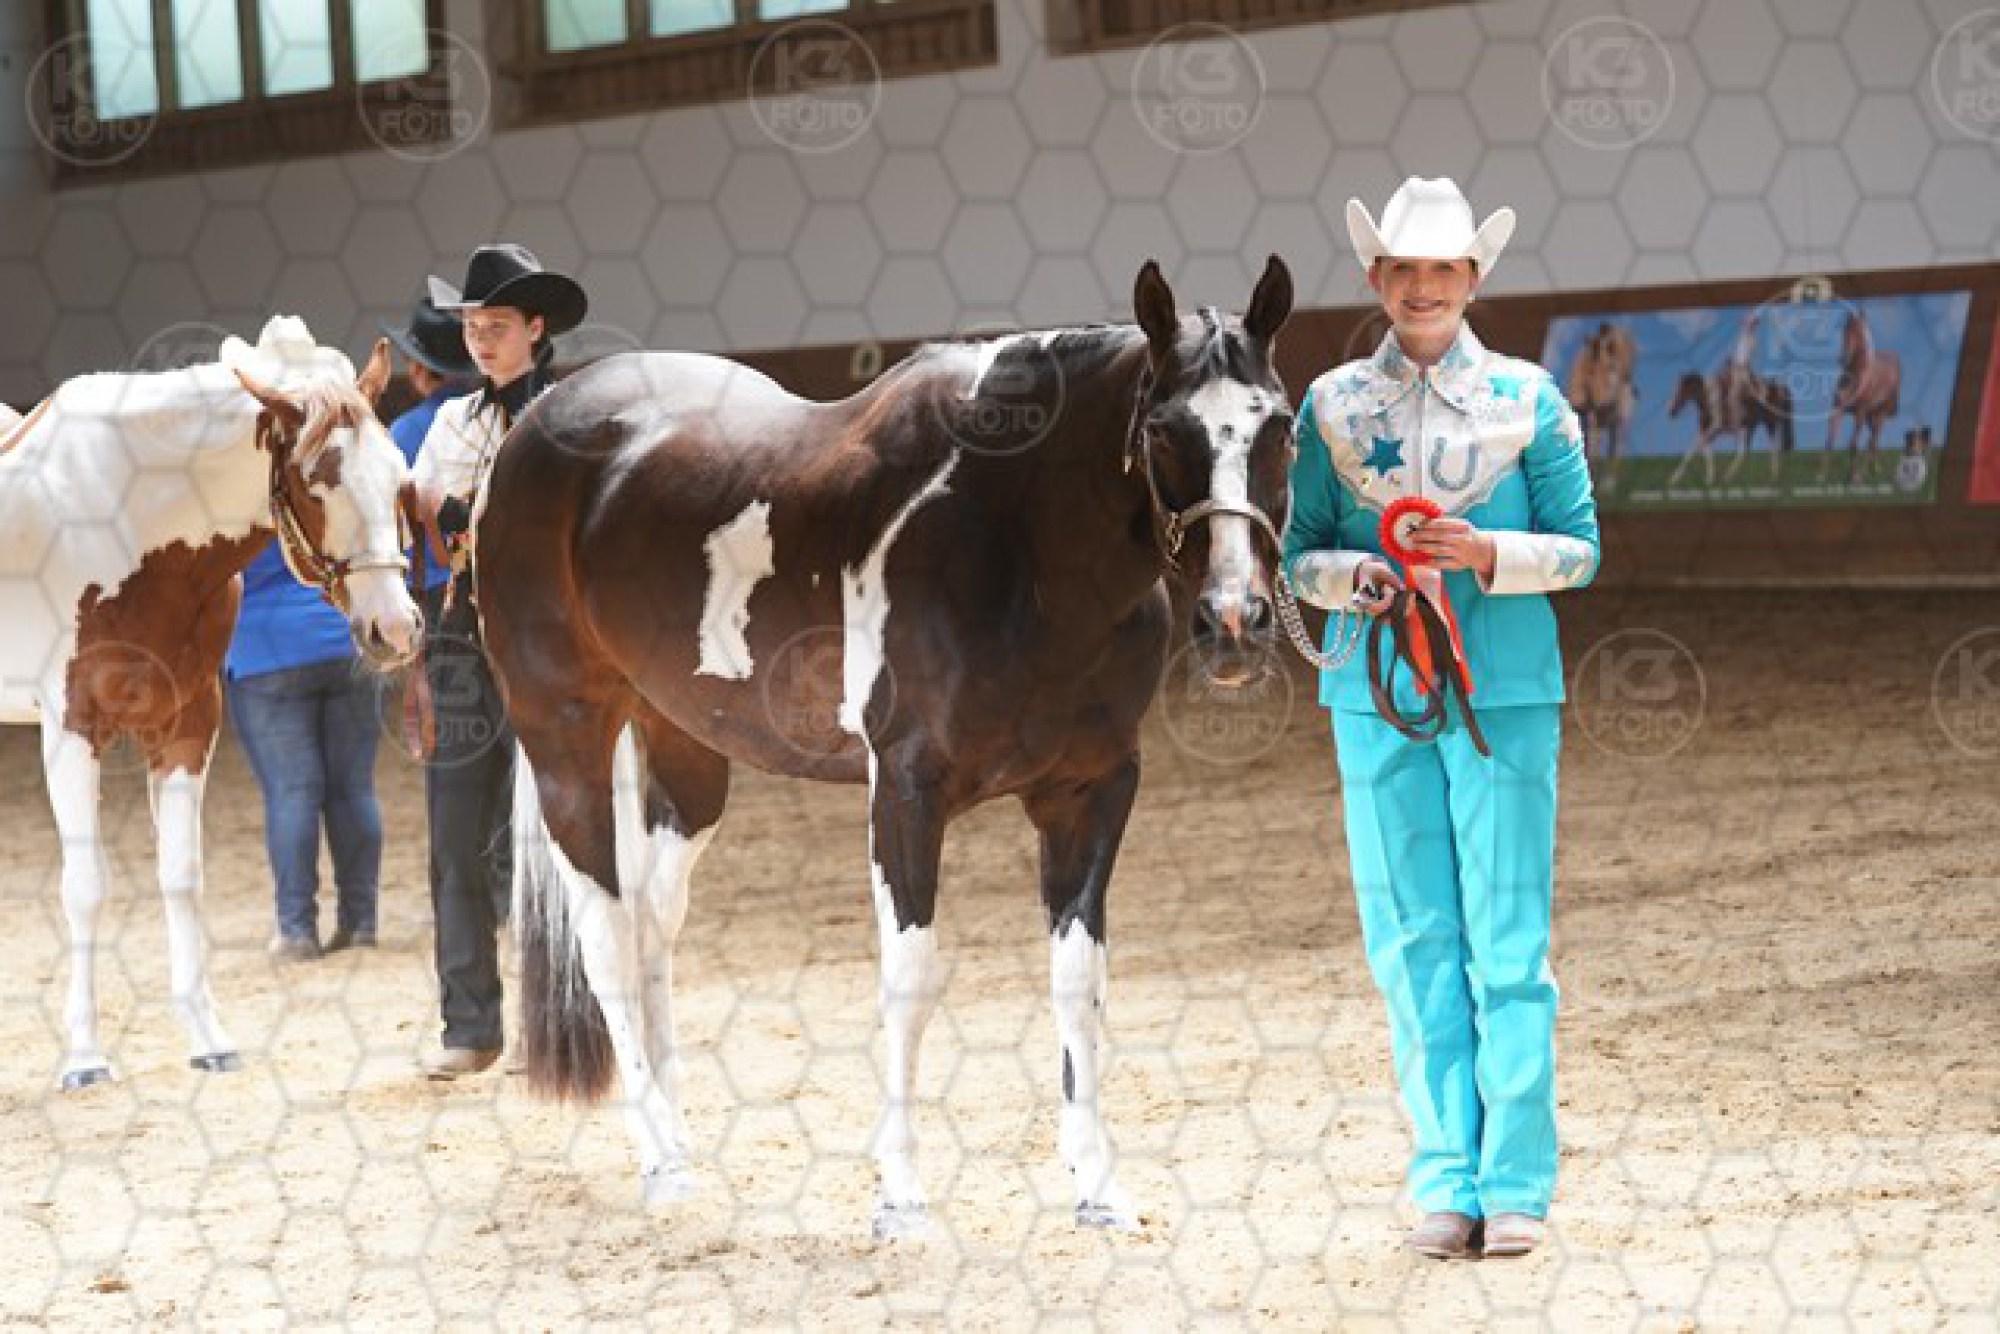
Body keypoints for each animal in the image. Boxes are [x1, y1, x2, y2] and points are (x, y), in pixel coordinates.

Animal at [0, 316, 424, 1090]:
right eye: (317, 482)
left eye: (397, 476)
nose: (396, 627)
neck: (124, 526)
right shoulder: (72, 730)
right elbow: (85, 885)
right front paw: (84, 1055)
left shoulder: (188, 725)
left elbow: (183, 877)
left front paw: (207, 1036)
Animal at [475, 258, 1296, 1233]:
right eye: (1167, 430)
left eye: (1280, 425)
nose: (1236, 621)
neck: (1017, 538)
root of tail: (533, 427)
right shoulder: (905, 789)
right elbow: (911, 978)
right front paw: (900, 1195)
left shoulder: (1093, 790)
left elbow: (1079, 980)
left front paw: (1097, 1186)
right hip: (565, 737)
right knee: (603, 936)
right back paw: (662, 1161)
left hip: (685, 753)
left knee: (651, 924)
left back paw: (676, 1134)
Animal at [1566, 322, 1637, 485]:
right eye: (1609, 348)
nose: (1632, 388)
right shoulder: (1585, 413)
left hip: (1619, 423)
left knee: (1615, 447)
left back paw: (1608, 482)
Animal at [1822, 309, 1901, 483]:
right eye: (1844, 330)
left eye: (1859, 332)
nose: (1843, 358)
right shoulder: (1838, 409)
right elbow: (1829, 440)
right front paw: (1821, 475)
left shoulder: (1860, 412)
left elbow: (1853, 445)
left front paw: (1854, 477)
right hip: (1871, 416)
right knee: (1873, 440)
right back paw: (1874, 468)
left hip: (1879, 413)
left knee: (1873, 440)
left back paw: (1866, 471)